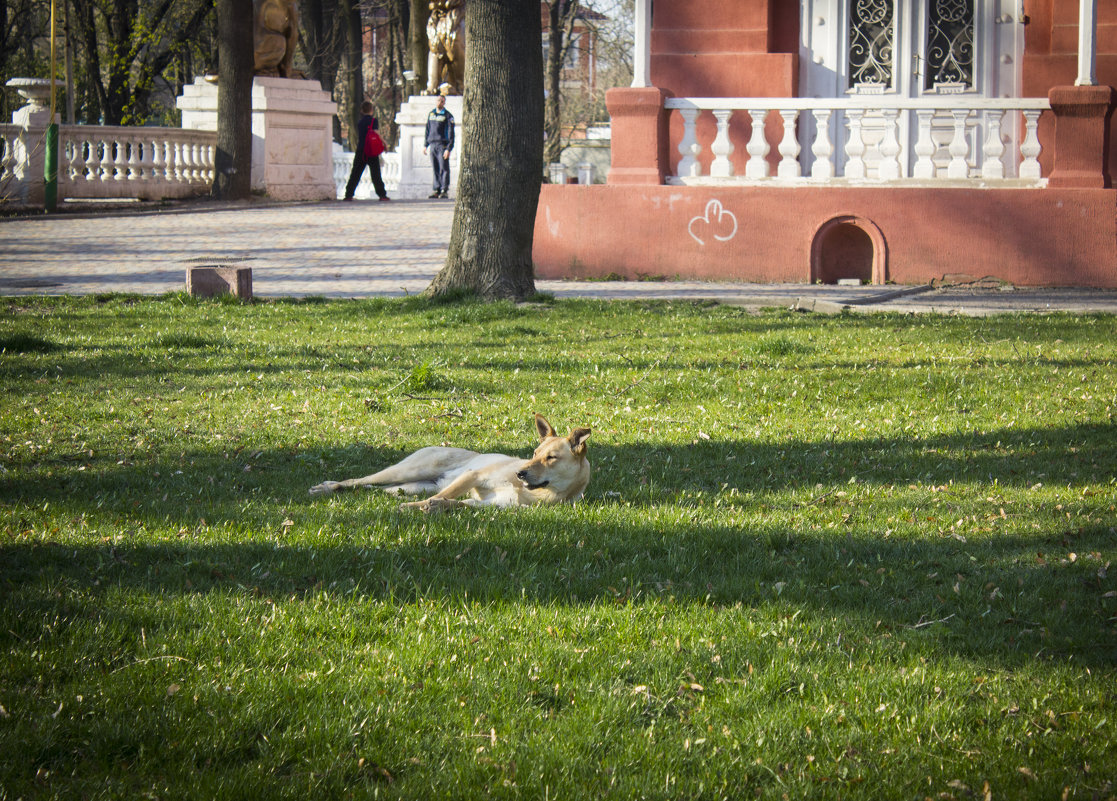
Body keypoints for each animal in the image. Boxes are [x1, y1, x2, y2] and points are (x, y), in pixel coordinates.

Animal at [303, 415, 585, 509]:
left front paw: (436, 507)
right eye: (535, 453)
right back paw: (327, 487)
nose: (520, 473)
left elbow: (457, 503)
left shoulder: (490, 505)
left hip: (409, 485)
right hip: (408, 471)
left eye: (551, 457)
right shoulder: (473, 475)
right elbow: (440, 497)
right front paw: (417, 509)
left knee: (376, 489)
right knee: (357, 480)